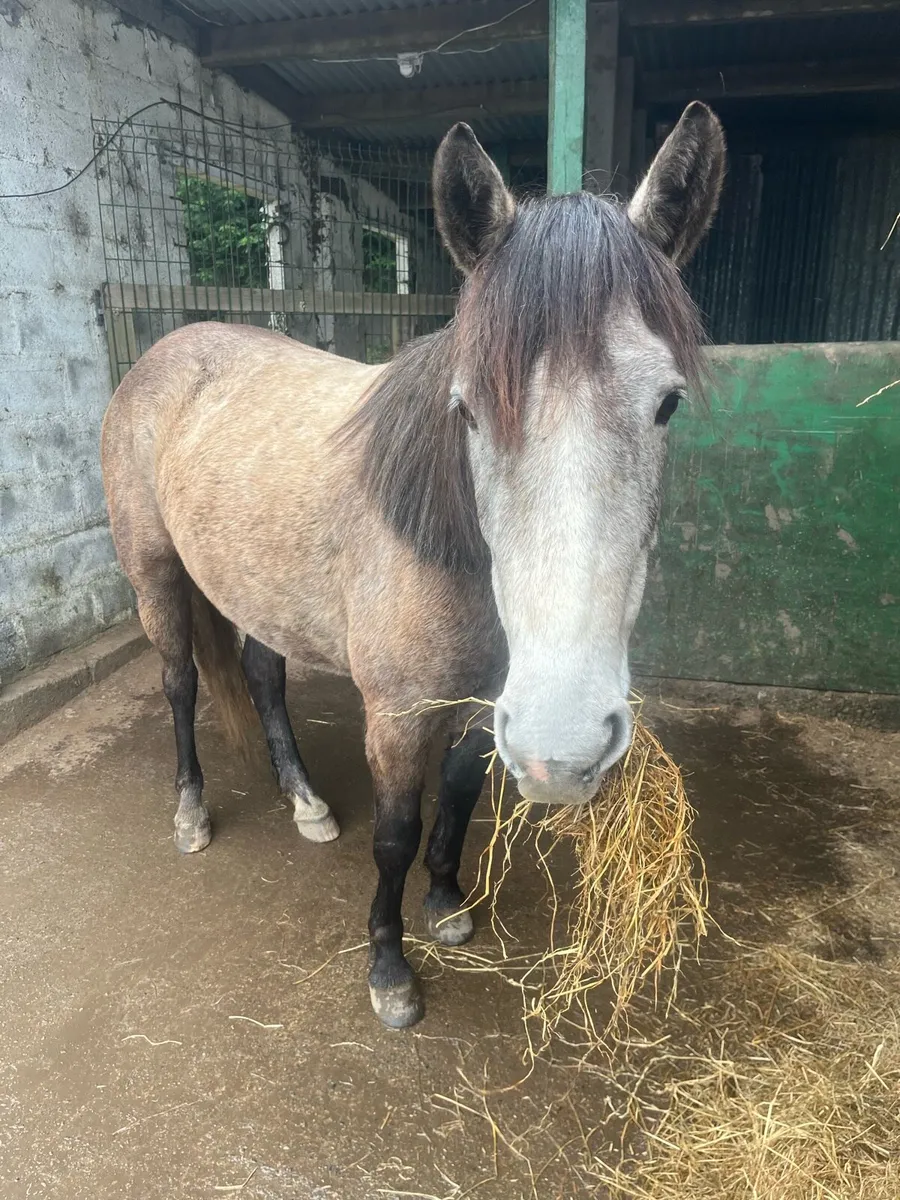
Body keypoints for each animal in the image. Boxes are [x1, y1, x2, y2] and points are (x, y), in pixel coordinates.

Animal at [101, 102, 725, 1028]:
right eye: (466, 409)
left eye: (668, 403)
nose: (566, 744)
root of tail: (166, 349)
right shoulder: (396, 715)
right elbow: (394, 833)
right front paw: (390, 970)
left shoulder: (483, 705)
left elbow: (458, 799)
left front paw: (446, 905)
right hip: (155, 576)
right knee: (180, 683)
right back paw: (191, 812)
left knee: (263, 678)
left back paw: (308, 804)